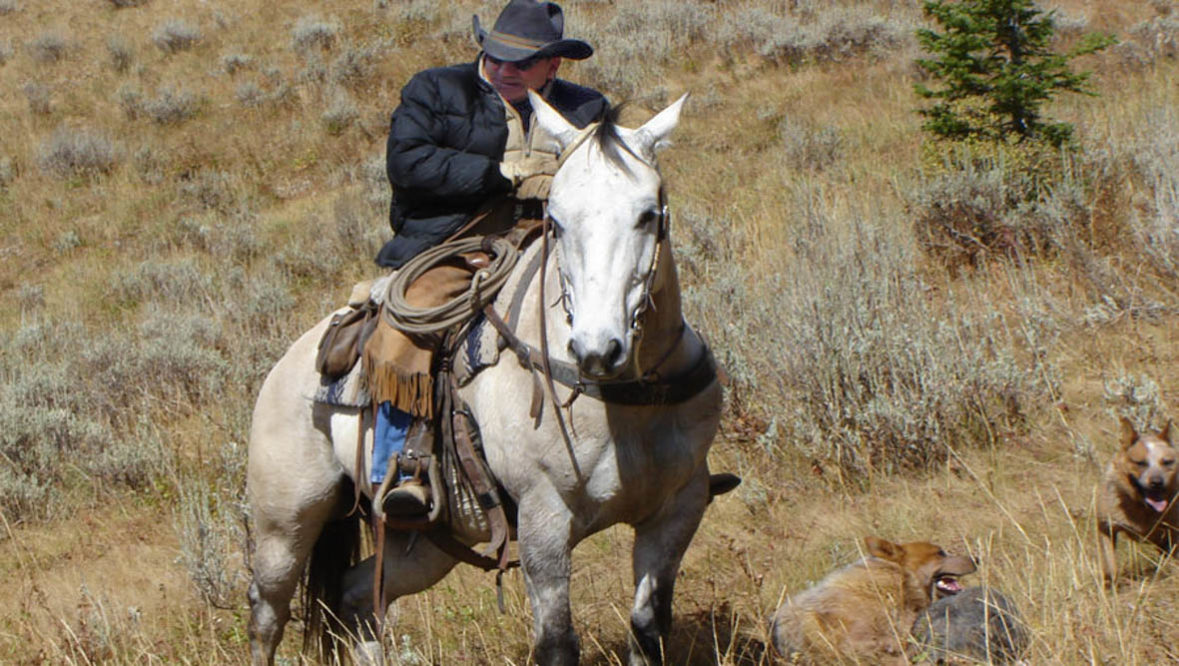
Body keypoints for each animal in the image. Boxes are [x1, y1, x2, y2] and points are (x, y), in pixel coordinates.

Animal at [246, 92, 724, 666]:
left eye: (648, 214)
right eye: (557, 221)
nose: (597, 348)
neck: (623, 401)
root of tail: (286, 367)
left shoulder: (677, 512)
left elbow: (648, 631)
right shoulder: (544, 521)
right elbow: (557, 643)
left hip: (426, 539)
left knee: (357, 597)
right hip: (285, 525)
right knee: (267, 617)